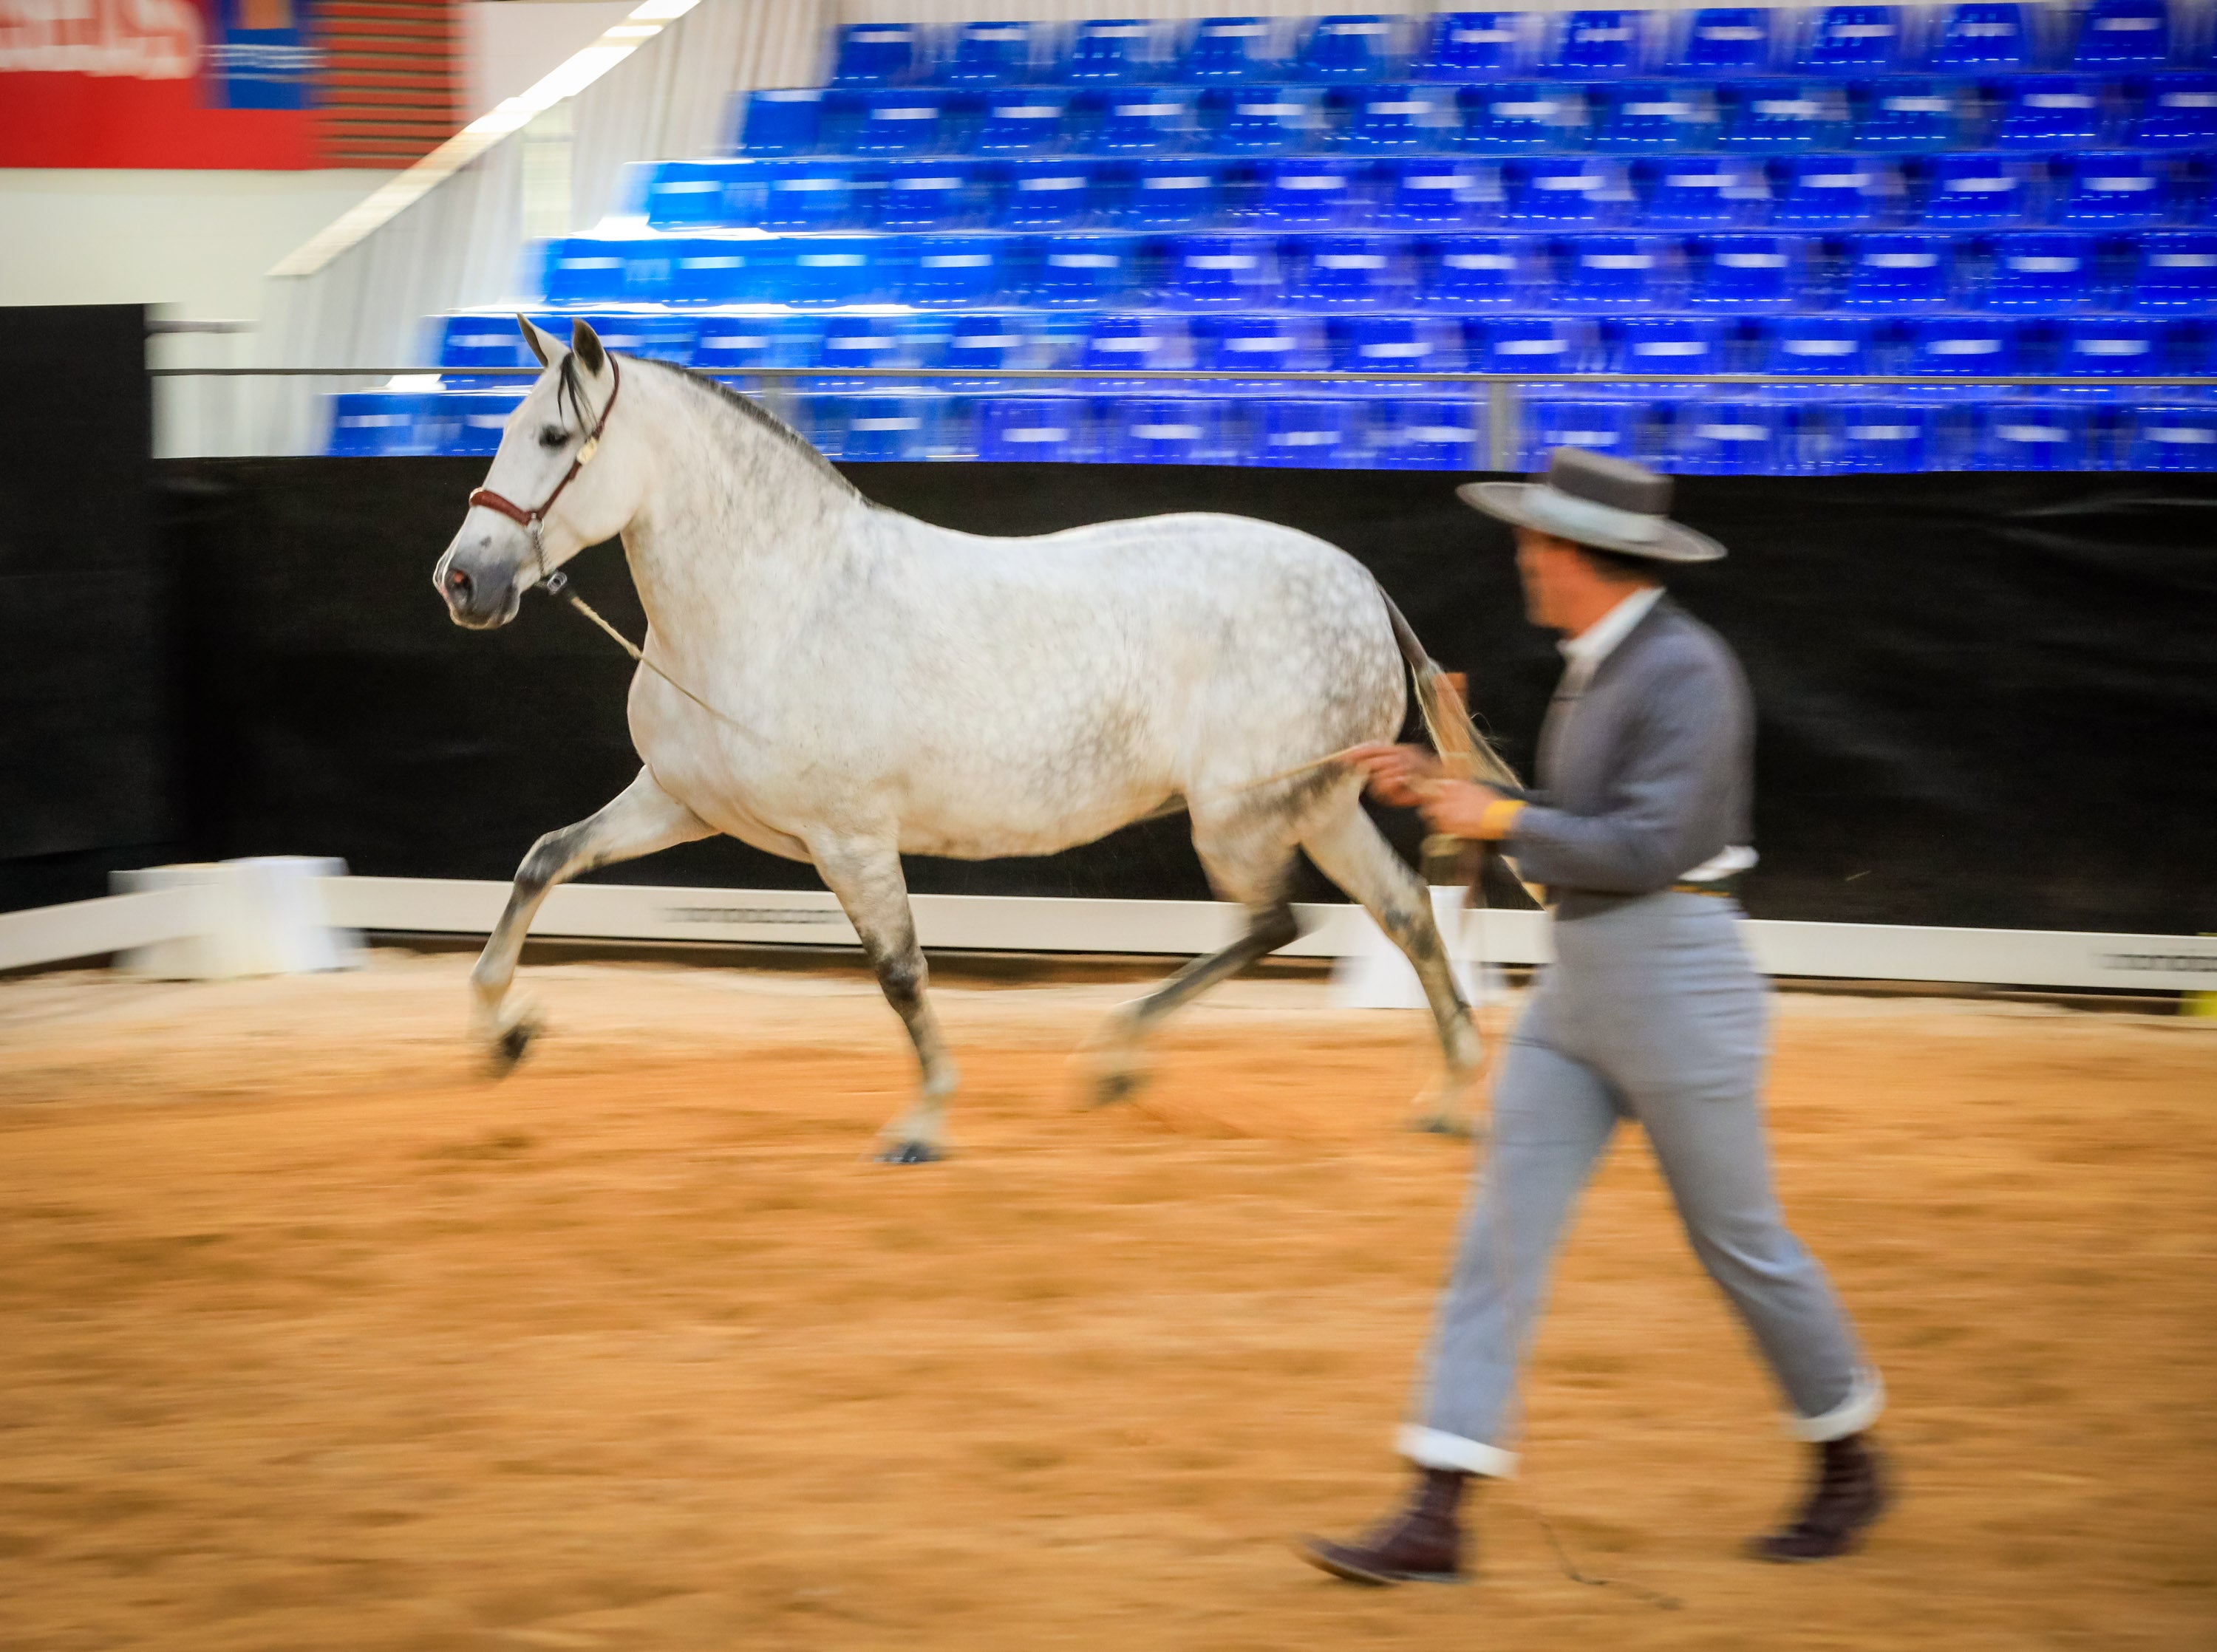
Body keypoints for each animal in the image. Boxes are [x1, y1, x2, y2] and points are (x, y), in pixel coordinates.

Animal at [437, 313, 1490, 1161]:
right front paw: (503, 1034)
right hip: (1318, 805)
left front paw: (922, 1125)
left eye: (554, 435)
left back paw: (1116, 1059)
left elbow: (901, 973)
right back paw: (1447, 1094)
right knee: (1401, 909)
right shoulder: (682, 801)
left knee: (1277, 922)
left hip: (1241, 817)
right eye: (506, 431)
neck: (781, 604)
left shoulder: (852, 839)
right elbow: (543, 859)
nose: (461, 581)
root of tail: (1359, 583)